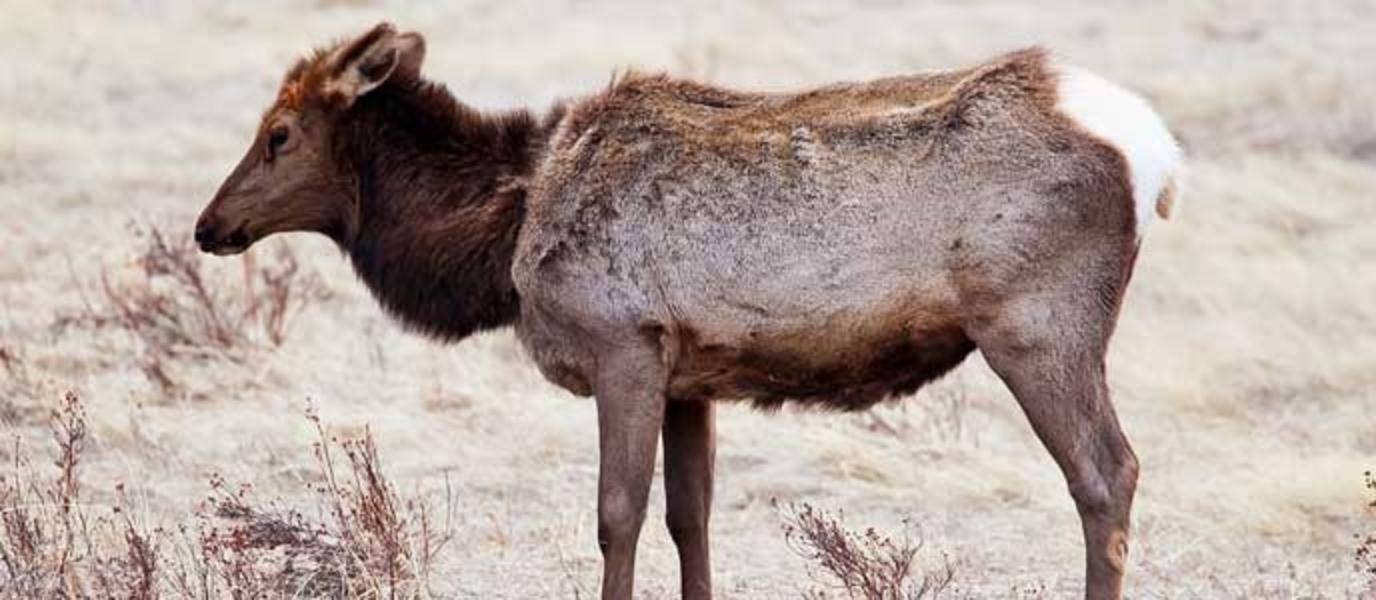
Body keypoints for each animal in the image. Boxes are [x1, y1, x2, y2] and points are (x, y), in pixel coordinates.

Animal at [194, 23, 1183, 600]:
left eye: (278, 134)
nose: (209, 225)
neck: (503, 235)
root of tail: (1158, 156)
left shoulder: (623, 344)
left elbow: (616, 515)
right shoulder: (690, 375)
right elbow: (690, 517)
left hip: (1035, 324)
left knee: (1108, 473)